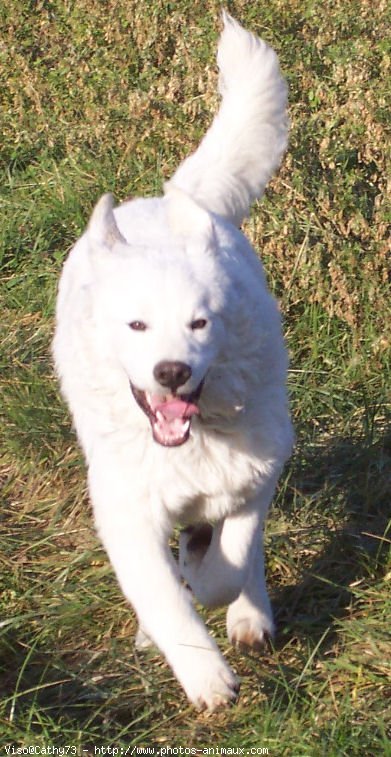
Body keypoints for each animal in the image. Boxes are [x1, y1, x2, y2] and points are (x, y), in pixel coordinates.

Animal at [54, 11, 294, 708]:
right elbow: (167, 601)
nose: (171, 372)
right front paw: (207, 679)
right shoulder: (126, 511)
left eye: (199, 322)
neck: (191, 444)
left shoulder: (255, 473)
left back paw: (248, 613)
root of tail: (174, 200)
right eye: (136, 325)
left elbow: (230, 561)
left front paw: (222, 591)